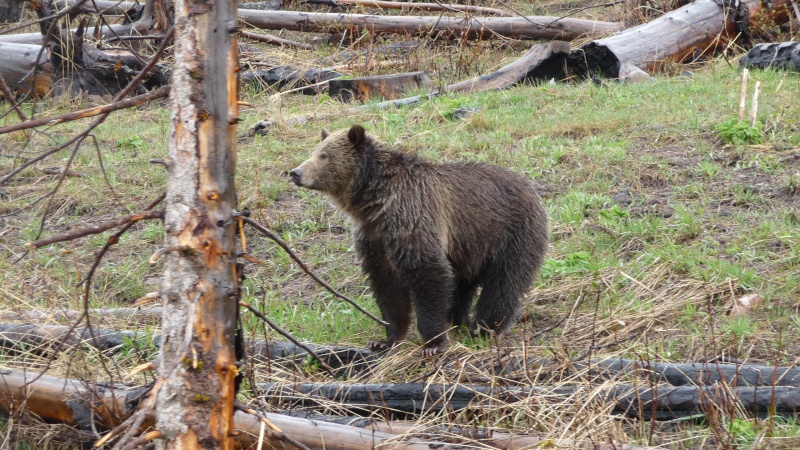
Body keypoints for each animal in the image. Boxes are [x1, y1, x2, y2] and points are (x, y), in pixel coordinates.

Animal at [290, 124, 548, 356]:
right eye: (315, 151)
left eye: (324, 155)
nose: (295, 172)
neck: (374, 203)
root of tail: (530, 186)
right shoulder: (374, 238)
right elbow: (387, 287)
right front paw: (385, 341)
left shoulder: (412, 217)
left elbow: (427, 274)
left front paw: (433, 343)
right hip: (468, 246)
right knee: (461, 286)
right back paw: (459, 322)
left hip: (510, 233)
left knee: (504, 284)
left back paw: (485, 329)